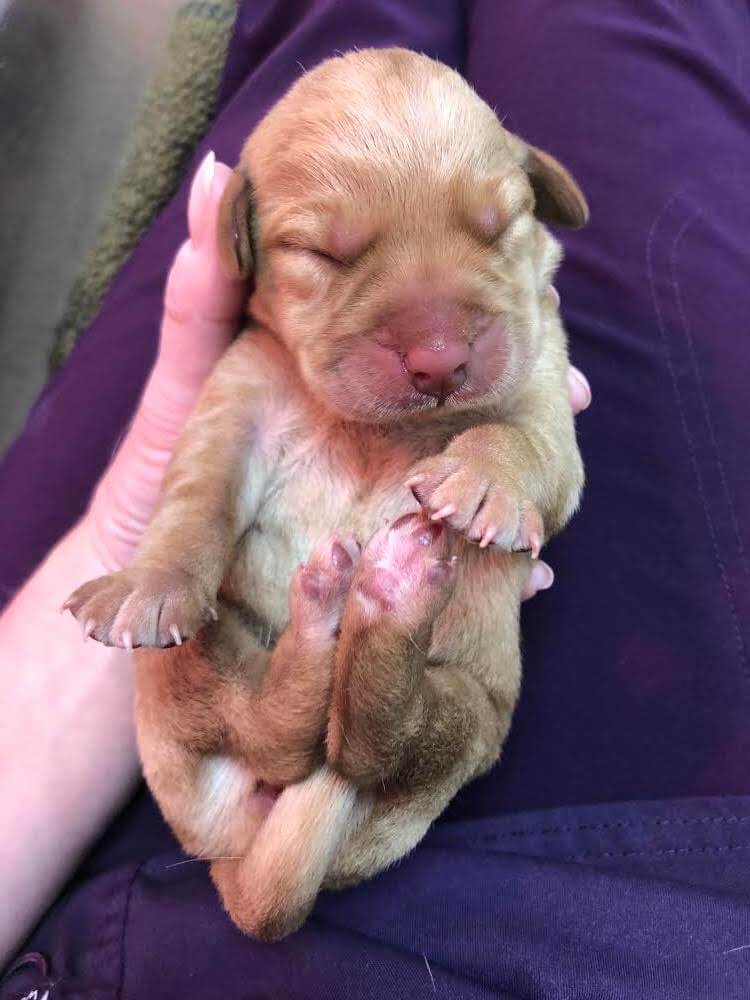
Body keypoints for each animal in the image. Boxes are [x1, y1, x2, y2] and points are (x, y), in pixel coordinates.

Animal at [66, 45, 588, 936]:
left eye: (500, 225)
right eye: (321, 254)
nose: (441, 361)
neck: (371, 429)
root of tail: (236, 852)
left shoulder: (545, 381)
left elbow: (525, 440)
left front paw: (482, 479)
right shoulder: (233, 405)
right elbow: (193, 501)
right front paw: (149, 581)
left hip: (469, 717)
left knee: (381, 741)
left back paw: (390, 600)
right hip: (185, 664)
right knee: (269, 725)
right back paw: (322, 624)